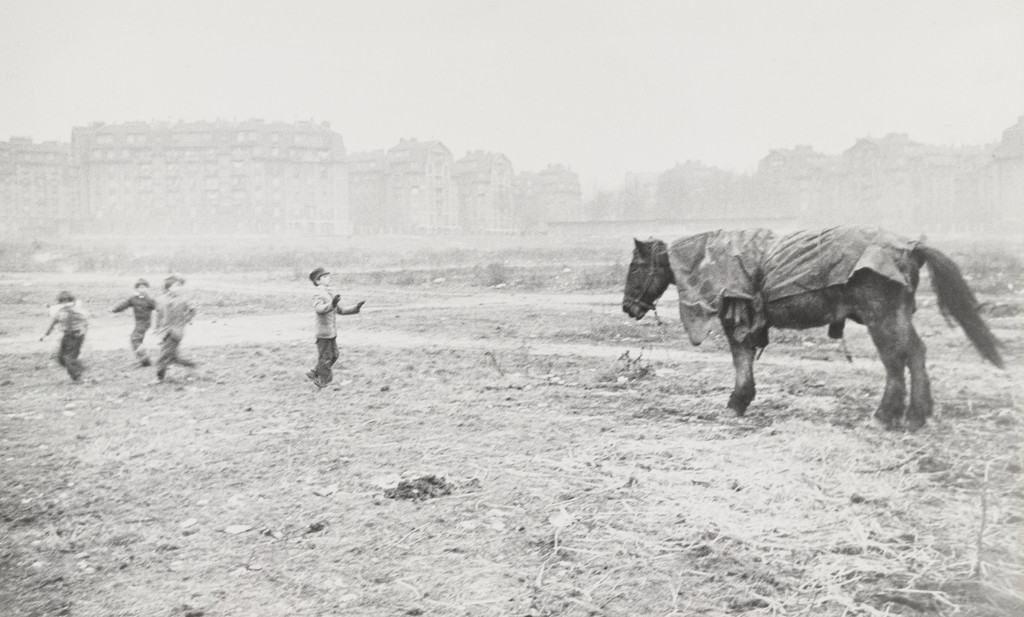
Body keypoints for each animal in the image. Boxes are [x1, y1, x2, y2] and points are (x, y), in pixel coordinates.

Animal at [622, 227, 1003, 430]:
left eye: (636, 268)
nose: (627, 307)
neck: (709, 257)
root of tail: (912, 246)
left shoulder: (736, 320)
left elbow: (740, 359)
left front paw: (737, 402)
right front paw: (741, 400)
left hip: (882, 317)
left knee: (897, 360)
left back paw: (886, 415)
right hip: (897, 316)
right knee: (915, 355)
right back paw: (915, 416)